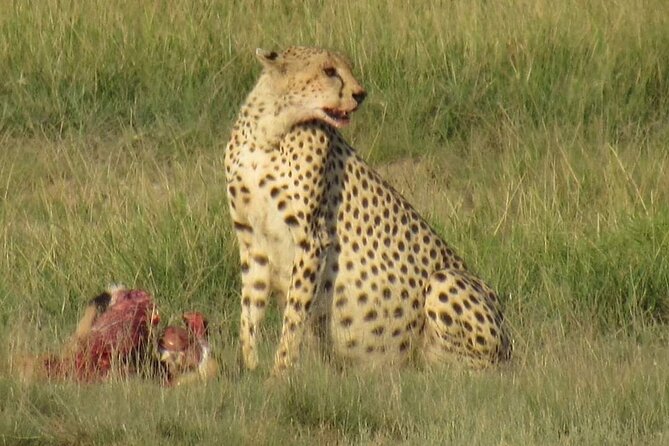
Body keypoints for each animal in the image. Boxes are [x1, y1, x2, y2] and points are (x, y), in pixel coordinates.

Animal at [224, 46, 512, 375]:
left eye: (346, 67)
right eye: (328, 71)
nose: (360, 94)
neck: (268, 133)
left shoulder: (312, 240)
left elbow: (294, 315)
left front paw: (280, 373)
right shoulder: (253, 242)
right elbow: (250, 310)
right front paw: (250, 369)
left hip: (446, 282)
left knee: (473, 368)